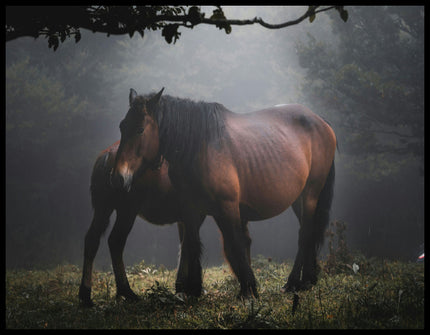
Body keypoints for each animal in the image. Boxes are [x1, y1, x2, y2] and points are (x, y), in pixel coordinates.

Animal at [111, 89, 336, 300]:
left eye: (140, 129)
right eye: (121, 126)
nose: (118, 178)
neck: (200, 147)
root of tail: (320, 121)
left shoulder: (228, 206)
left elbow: (235, 243)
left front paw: (248, 290)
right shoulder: (191, 209)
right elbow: (193, 244)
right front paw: (193, 290)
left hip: (310, 194)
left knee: (305, 234)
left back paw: (292, 283)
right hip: (298, 200)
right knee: (310, 231)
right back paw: (307, 280)